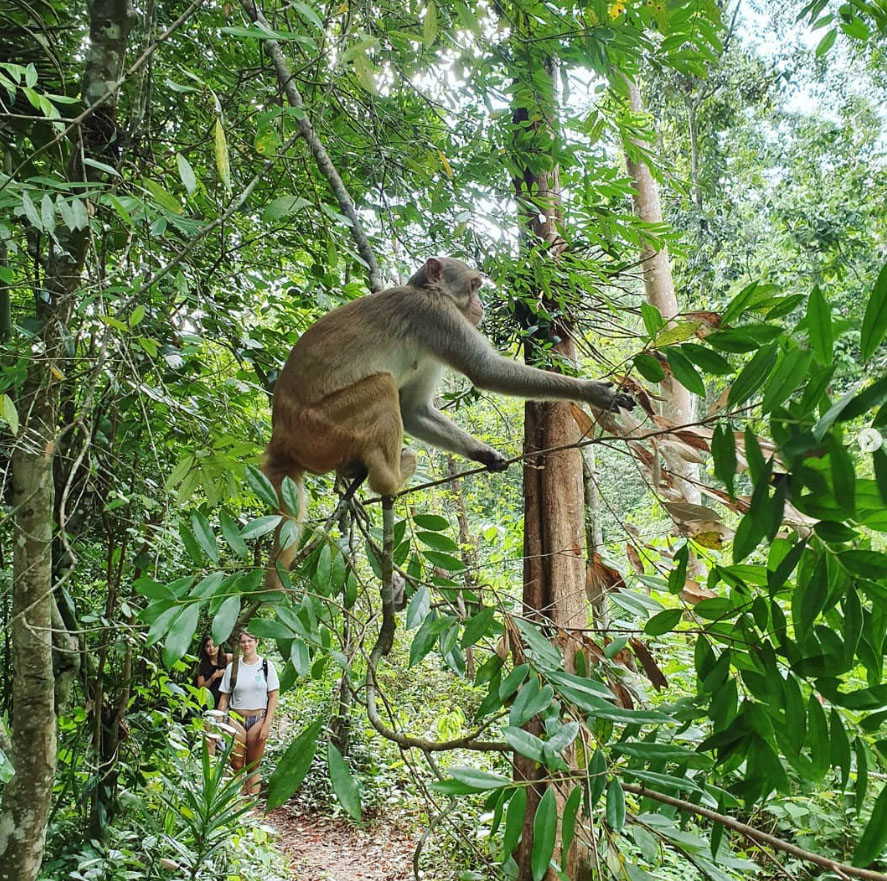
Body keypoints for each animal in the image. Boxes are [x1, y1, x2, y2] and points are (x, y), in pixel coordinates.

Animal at [260, 254, 636, 584]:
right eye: (473, 286)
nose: (481, 305)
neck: (427, 291)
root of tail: (280, 435)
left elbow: (413, 410)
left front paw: (484, 453)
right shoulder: (436, 317)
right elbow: (485, 371)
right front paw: (591, 391)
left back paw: (354, 471)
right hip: (318, 427)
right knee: (382, 386)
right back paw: (389, 480)